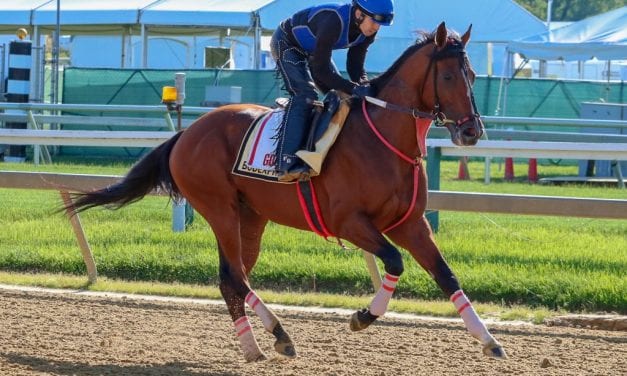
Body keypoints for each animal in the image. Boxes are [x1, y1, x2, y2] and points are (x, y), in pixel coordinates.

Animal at [68, 22, 508, 362]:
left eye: (472, 76)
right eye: (448, 77)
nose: (471, 132)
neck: (382, 139)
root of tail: (186, 133)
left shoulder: (411, 224)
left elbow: (447, 275)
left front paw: (489, 341)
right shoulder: (349, 222)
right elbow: (395, 262)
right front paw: (362, 317)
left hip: (251, 217)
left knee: (232, 278)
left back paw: (253, 347)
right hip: (219, 208)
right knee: (236, 275)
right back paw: (279, 334)